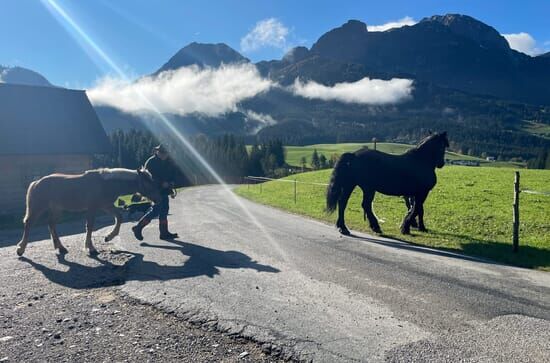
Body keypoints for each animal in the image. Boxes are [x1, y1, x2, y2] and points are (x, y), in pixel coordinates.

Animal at [15, 169, 162, 258]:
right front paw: (91, 248)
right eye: (148, 184)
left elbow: (119, 217)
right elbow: (90, 227)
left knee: (51, 225)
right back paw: (21, 249)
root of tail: (36, 182)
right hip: (37, 208)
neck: (105, 184)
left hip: (56, 210)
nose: (158, 198)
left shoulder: (106, 206)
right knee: (29, 224)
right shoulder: (92, 208)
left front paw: (109, 237)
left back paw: (61, 248)